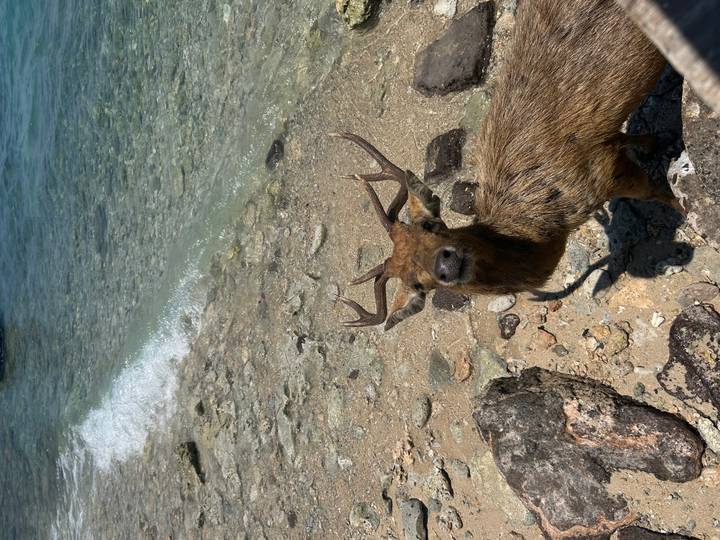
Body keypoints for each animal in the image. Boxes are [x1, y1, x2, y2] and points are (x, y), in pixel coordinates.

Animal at [331, 0, 684, 330]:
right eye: (417, 282)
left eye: (430, 225)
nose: (446, 263)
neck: (547, 222)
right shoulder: (608, 149)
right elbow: (631, 141)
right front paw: (655, 141)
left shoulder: (601, 170)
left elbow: (663, 195)